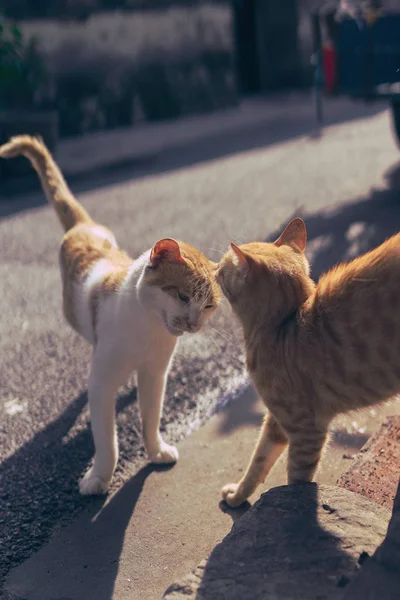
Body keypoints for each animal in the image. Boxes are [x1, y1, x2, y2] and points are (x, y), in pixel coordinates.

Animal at [0, 137, 220, 496]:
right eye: (182, 296)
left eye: (209, 306)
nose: (193, 322)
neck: (147, 327)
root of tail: (84, 225)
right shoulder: (102, 384)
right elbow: (108, 441)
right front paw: (98, 478)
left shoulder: (155, 374)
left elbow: (151, 418)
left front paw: (156, 451)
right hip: (73, 315)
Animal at [217, 218, 398, 504]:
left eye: (224, 267)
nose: (213, 268)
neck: (282, 325)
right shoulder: (277, 421)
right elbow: (259, 460)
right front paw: (238, 495)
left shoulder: (306, 431)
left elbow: (296, 479)